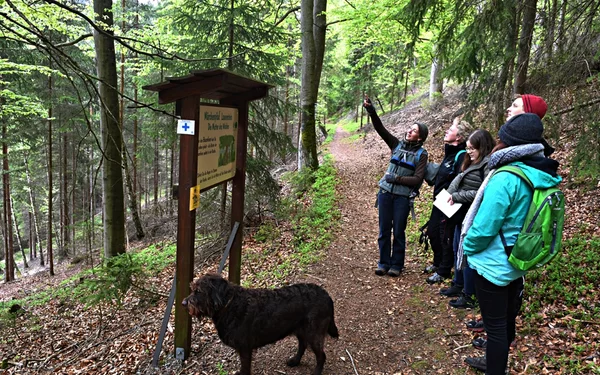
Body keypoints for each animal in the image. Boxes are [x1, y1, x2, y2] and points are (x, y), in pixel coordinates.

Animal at [180, 274, 340, 375]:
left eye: (198, 291)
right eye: (193, 289)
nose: (183, 303)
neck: (229, 305)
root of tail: (327, 296)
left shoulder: (244, 349)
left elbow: (245, 368)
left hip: (314, 333)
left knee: (321, 356)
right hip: (301, 329)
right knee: (302, 345)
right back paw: (295, 361)